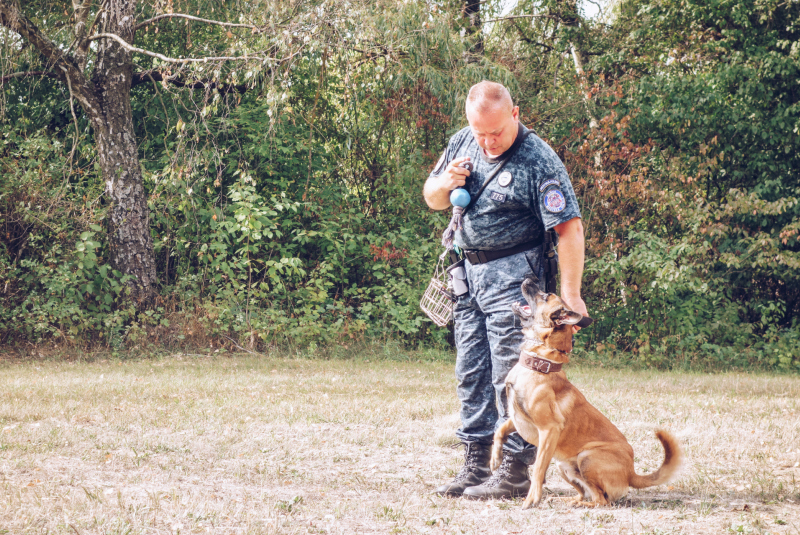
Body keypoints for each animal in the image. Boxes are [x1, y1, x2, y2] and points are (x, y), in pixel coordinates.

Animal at [494, 278, 680, 508]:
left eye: (545, 295)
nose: (528, 279)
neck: (540, 363)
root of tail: (631, 473)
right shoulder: (517, 418)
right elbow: (499, 430)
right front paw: (495, 459)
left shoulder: (548, 430)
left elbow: (537, 469)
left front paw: (532, 499)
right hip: (564, 466)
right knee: (585, 492)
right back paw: (568, 500)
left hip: (586, 457)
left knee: (602, 500)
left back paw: (580, 504)